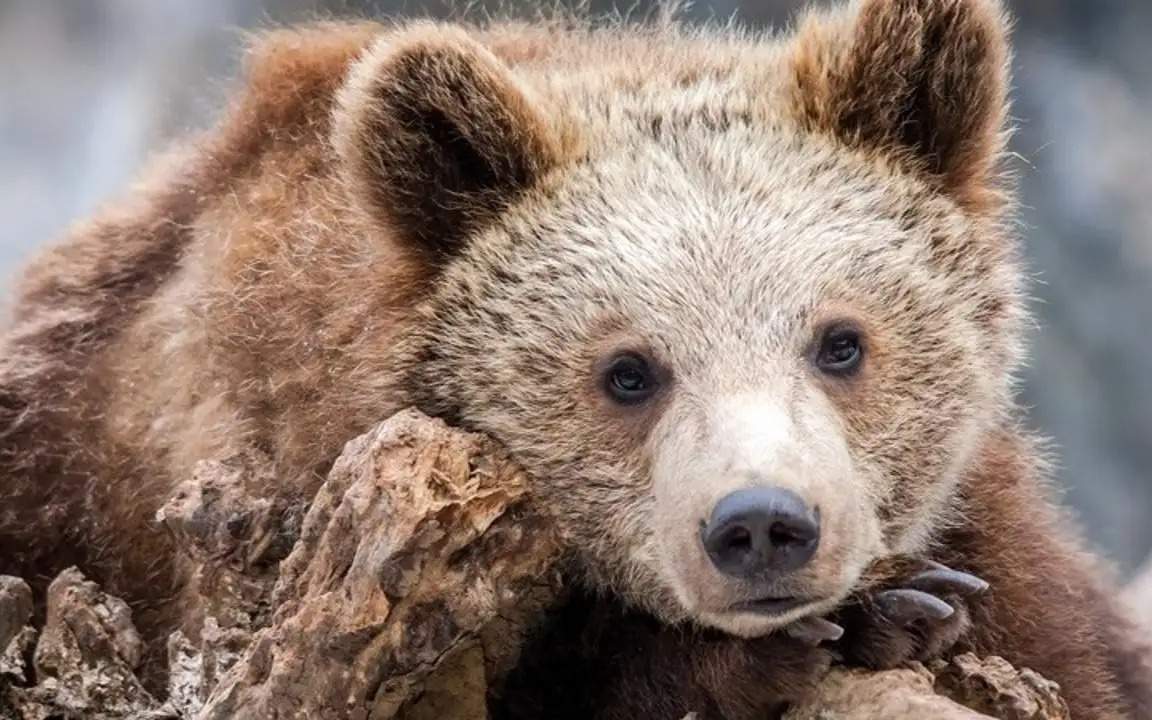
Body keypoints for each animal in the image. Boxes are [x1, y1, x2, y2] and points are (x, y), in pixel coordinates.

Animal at [0, 0, 1147, 714]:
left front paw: (900, 607)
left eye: (841, 341)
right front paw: (860, 618)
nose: (762, 526)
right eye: (628, 371)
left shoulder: (1019, 562)